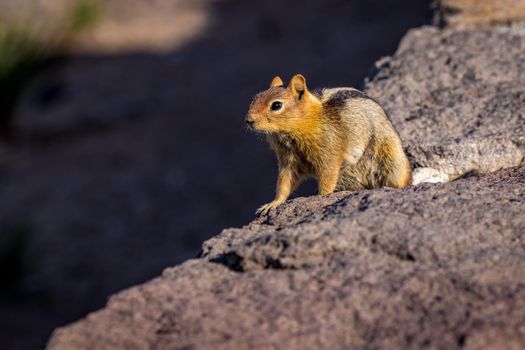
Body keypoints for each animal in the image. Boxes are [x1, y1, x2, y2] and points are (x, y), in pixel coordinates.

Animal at [248, 74, 412, 213]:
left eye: (276, 105)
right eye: (253, 99)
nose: (248, 120)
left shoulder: (329, 153)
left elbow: (328, 177)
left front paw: (321, 197)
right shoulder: (289, 160)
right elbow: (284, 183)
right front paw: (272, 204)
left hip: (391, 161)